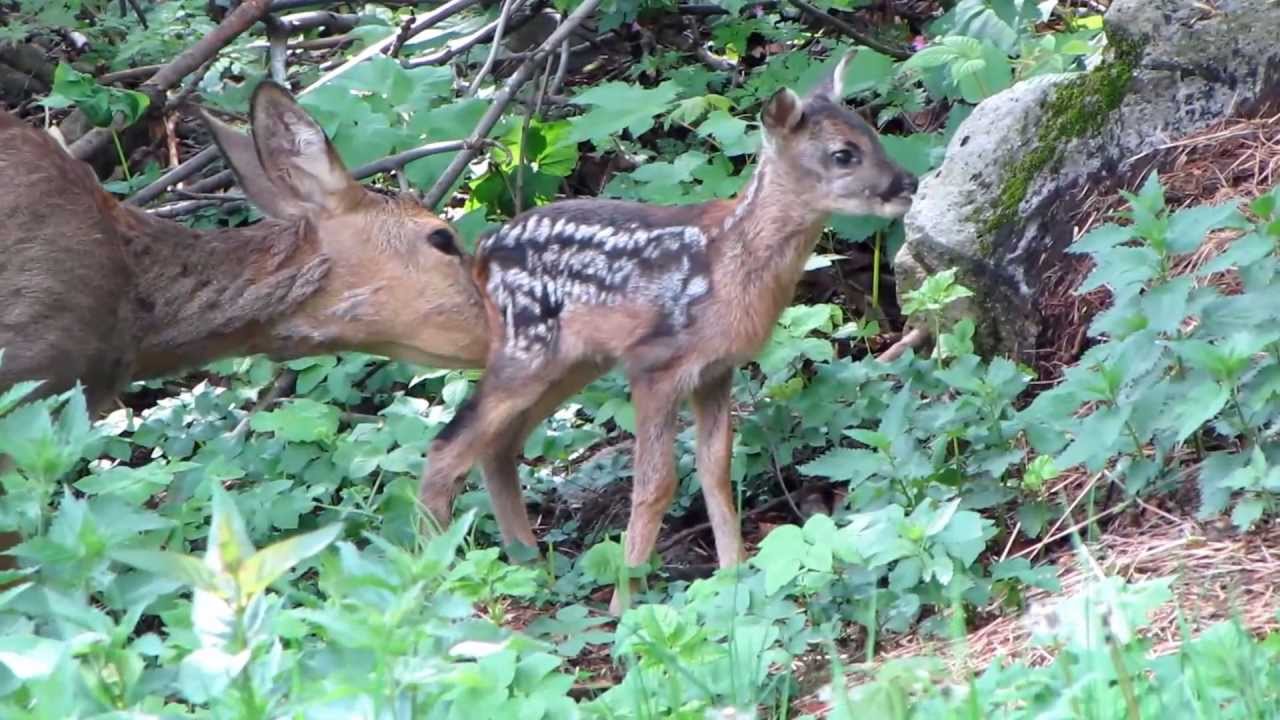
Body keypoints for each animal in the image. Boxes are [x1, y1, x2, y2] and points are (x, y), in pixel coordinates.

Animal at [416, 52, 918, 614]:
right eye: (843, 154)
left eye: (872, 134)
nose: (908, 184)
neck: (730, 266)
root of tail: (480, 255)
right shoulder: (655, 364)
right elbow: (656, 483)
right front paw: (625, 605)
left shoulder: (717, 369)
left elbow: (715, 470)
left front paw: (735, 577)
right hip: (527, 349)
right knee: (447, 447)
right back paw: (436, 581)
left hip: (573, 362)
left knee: (497, 448)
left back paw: (530, 567)